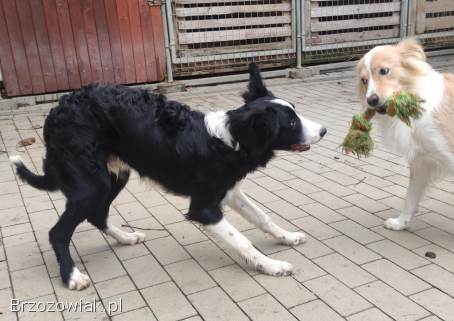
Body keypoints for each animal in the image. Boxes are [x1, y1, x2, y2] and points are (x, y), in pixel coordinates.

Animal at [8, 63, 324, 288]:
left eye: (295, 113)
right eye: (292, 122)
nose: (324, 130)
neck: (229, 140)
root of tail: (55, 112)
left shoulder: (230, 192)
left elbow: (263, 218)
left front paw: (287, 237)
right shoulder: (204, 208)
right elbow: (242, 240)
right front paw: (271, 266)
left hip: (113, 177)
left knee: (97, 215)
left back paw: (125, 238)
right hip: (91, 186)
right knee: (58, 232)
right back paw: (71, 275)